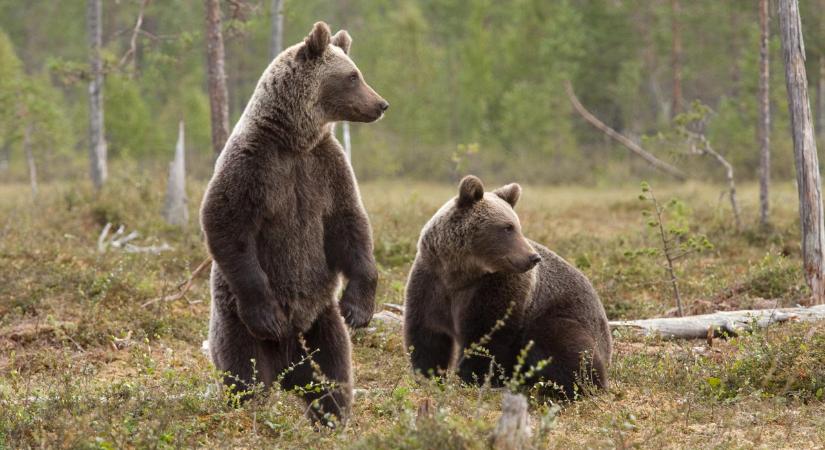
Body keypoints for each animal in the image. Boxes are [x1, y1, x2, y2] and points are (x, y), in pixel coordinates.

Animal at [199, 20, 386, 422]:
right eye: (353, 76)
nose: (381, 104)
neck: (294, 140)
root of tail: (288, 366)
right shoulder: (254, 165)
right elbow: (226, 222)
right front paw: (267, 313)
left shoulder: (327, 167)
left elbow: (350, 225)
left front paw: (358, 308)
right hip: (235, 322)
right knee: (245, 375)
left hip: (321, 324)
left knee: (334, 373)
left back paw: (331, 415)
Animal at [404, 176, 612, 398]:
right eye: (507, 227)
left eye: (517, 226)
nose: (532, 257)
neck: (460, 273)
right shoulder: (432, 282)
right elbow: (428, 335)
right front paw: (430, 377)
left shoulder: (496, 289)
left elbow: (487, 337)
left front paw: (473, 379)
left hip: (564, 315)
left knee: (562, 344)